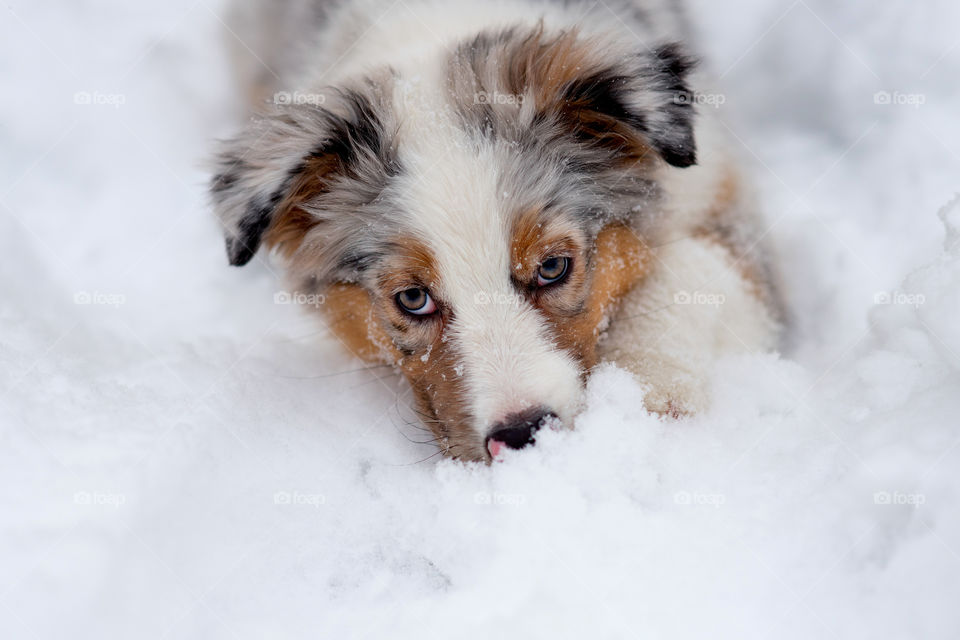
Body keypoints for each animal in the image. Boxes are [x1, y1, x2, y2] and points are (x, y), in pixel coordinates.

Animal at [210, 0, 780, 462]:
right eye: (412, 298)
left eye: (553, 267)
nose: (524, 435)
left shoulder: (720, 196)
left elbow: (690, 269)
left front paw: (647, 393)